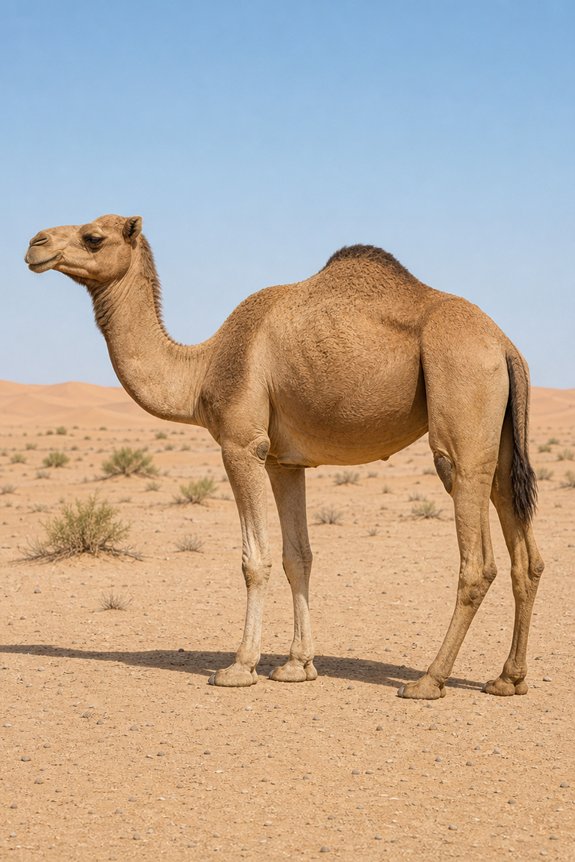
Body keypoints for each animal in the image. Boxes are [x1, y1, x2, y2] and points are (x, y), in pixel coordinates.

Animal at [25, 214, 544, 699]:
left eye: (94, 237)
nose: (35, 244)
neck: (203, 369)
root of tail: (505, 346)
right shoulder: (283, 461)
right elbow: (299, 556)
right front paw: (297, 665)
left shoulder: (241, 445)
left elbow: (254, 560)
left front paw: (240, 666)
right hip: (501, 442)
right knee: (526, 554)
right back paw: (508, 678)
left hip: (461, 404)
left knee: (476, 558)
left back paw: (429, 680)